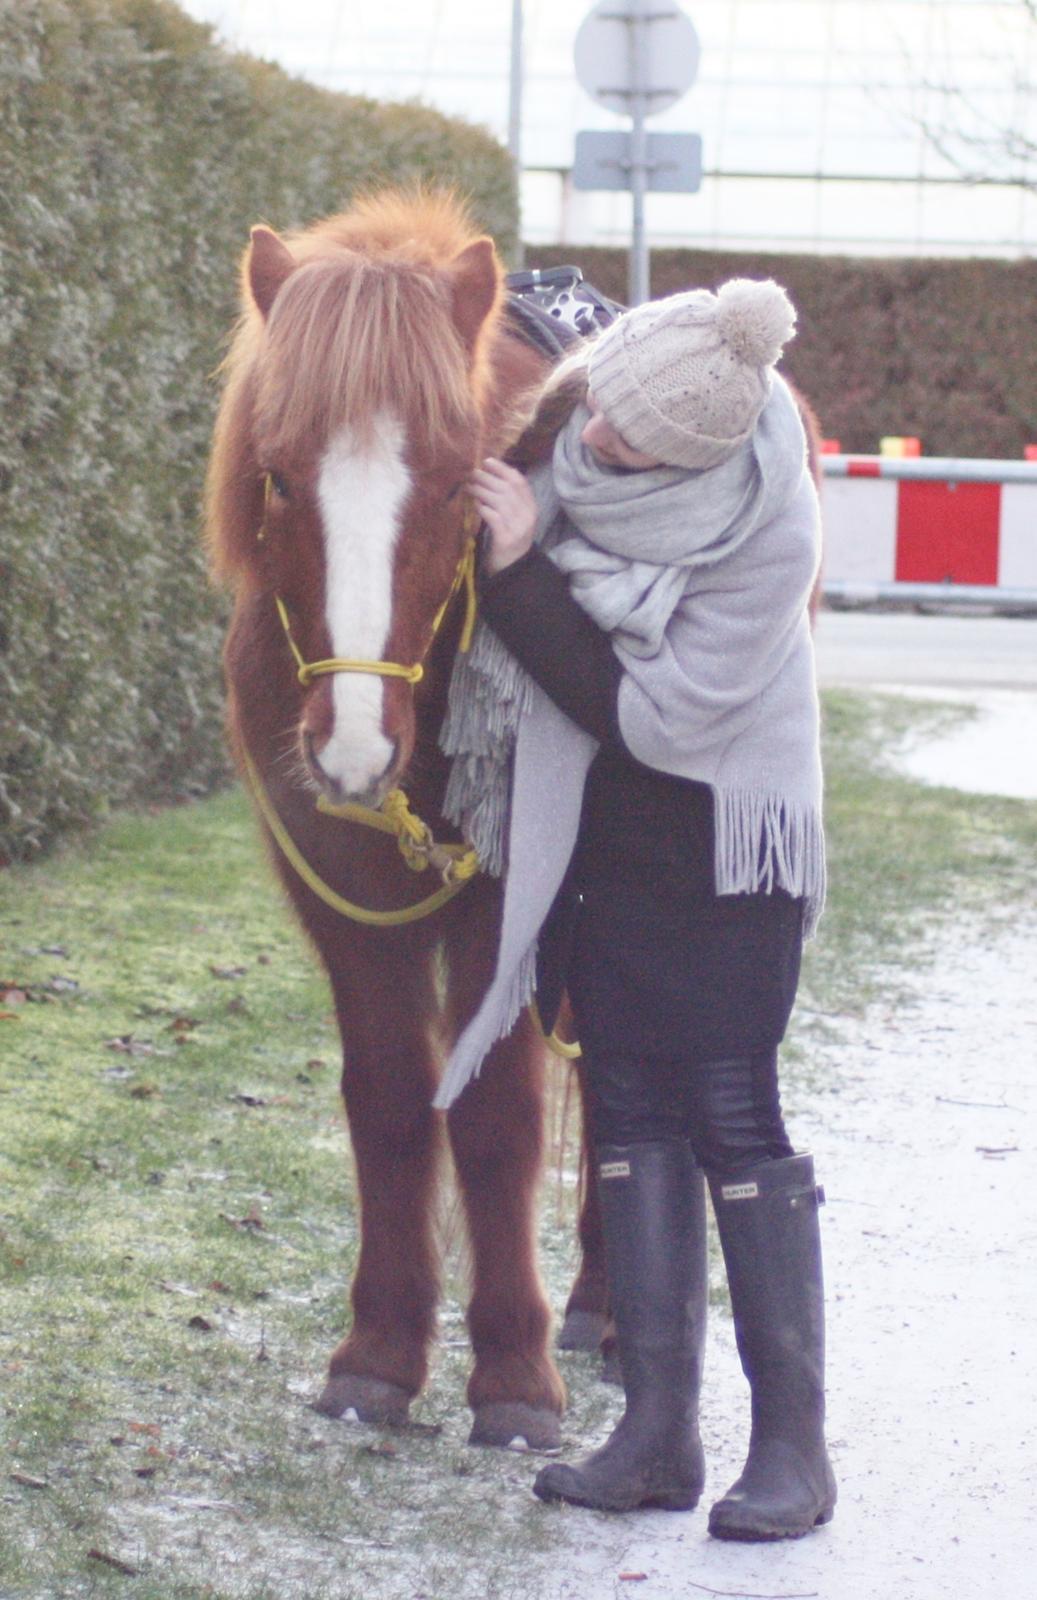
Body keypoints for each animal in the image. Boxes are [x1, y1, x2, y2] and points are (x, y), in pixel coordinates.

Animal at [204, 187, 604, 1452]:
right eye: (279, 477)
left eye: (450, 476)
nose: (351, 747)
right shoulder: (342, 891)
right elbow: (387, 1102)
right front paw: (379, 1351)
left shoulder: (509, 899)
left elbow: (494, 1112)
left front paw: (515, 1369)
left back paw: (604, 1306)